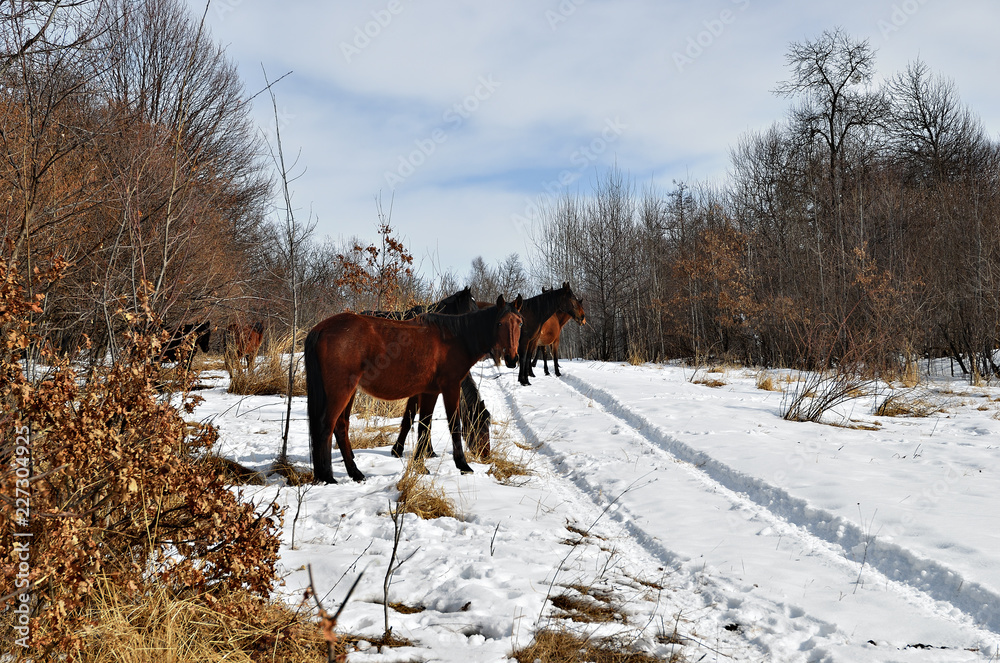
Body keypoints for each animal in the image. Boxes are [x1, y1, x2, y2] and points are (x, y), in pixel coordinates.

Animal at [304, 298, 524, 486]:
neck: (454, 338)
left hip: (348, 392)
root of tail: (320, 328)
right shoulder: (450, 387)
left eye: (520, 323)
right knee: (326, 426)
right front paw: (463, 465)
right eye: (500, 324)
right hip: (340, 391)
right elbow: (453, 425)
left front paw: (419, 465)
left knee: (341, 426)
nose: (512, 359)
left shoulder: (429, 391)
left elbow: (422, 426)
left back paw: (355, 473)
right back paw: (328, 477)